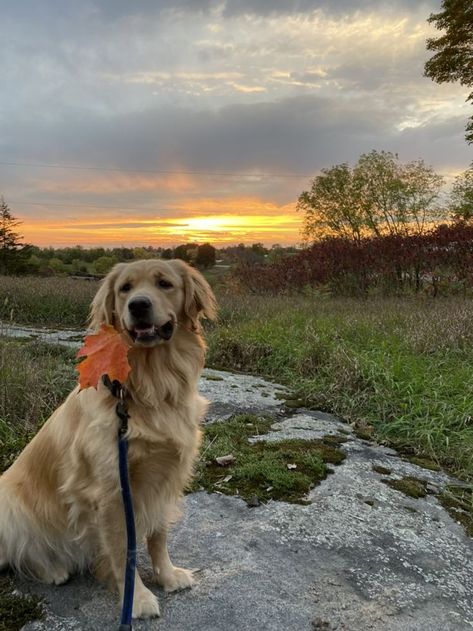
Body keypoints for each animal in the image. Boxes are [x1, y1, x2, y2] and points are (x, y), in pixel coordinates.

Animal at [0, 260, 216, 620]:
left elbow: (159, 536)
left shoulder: (165, 479)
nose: (138, 305)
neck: (149, 386)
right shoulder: (112, 492)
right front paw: (137, 599)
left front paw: (168, 575)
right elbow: (123, 553)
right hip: (9, 503)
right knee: (22, 551)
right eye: (125, 289)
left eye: (164, 283)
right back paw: (53, 569)